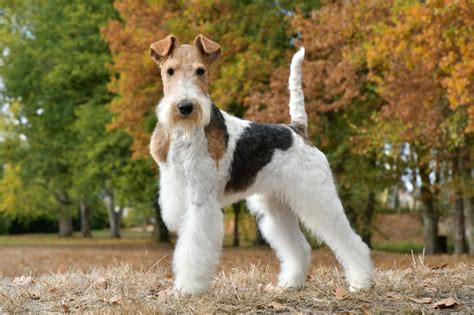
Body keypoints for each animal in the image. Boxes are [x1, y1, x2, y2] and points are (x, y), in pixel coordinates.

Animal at [150, 35, 372, 296]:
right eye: (170, 71)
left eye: (200, 71)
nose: (185, 107)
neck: (184, 133)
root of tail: (298, 130)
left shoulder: (201, 201)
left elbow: (193, 250)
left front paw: (187, 289)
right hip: (277, 206)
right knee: (299, 247)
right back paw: (289, 283)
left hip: (317, 198)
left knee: (350, 241)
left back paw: (361, 282)